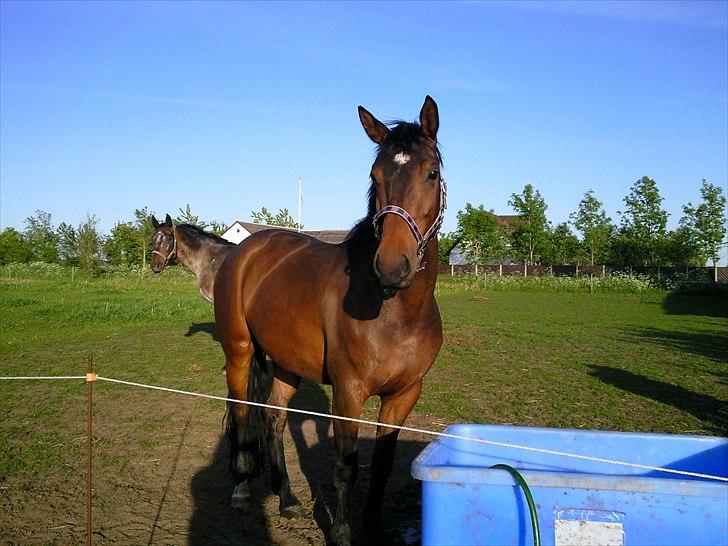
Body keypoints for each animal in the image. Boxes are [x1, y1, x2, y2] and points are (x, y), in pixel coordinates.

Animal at [213, 95, 446, 540]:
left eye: (431, 173)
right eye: (376, 175)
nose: (393, 265)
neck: (395, 314)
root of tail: (244, 249)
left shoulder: (404, 394)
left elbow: (382, 465)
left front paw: (370, 526)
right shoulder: (348, 393)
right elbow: (346, 468)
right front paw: (340, 533)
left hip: (287, 362)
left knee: (274, 417)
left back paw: (286, 499)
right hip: (239, 350)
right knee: (242, 409)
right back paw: (241, 488)